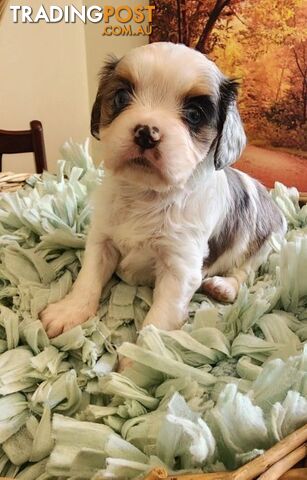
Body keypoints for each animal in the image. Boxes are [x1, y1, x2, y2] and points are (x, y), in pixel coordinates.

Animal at [40, 43, 286, 340]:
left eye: (194, 114)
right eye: (121, 97)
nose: (147, 132)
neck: (147, 194)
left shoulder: (179, 269)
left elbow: (159, 320)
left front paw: (142, 352)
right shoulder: (101, 240)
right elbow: (88, 278)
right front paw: (70, 310)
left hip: (265, 243)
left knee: (244, 271)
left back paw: (224, 286)